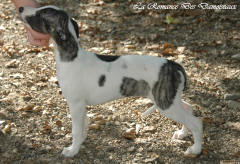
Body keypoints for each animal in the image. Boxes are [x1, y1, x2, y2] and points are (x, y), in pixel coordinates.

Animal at [19, 5, 202, 158]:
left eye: (41, 13)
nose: (21, 8)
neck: (71, 57)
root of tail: (173, 64)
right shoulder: (81, 105)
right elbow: (84, 125)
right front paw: (81, 143)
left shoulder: (75, 104)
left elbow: (76, 130)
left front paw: (72, 150)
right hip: (170, 99)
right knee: (189, 108)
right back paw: (182, 133)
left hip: (165, 104)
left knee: (197, 122)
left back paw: (195, 149)